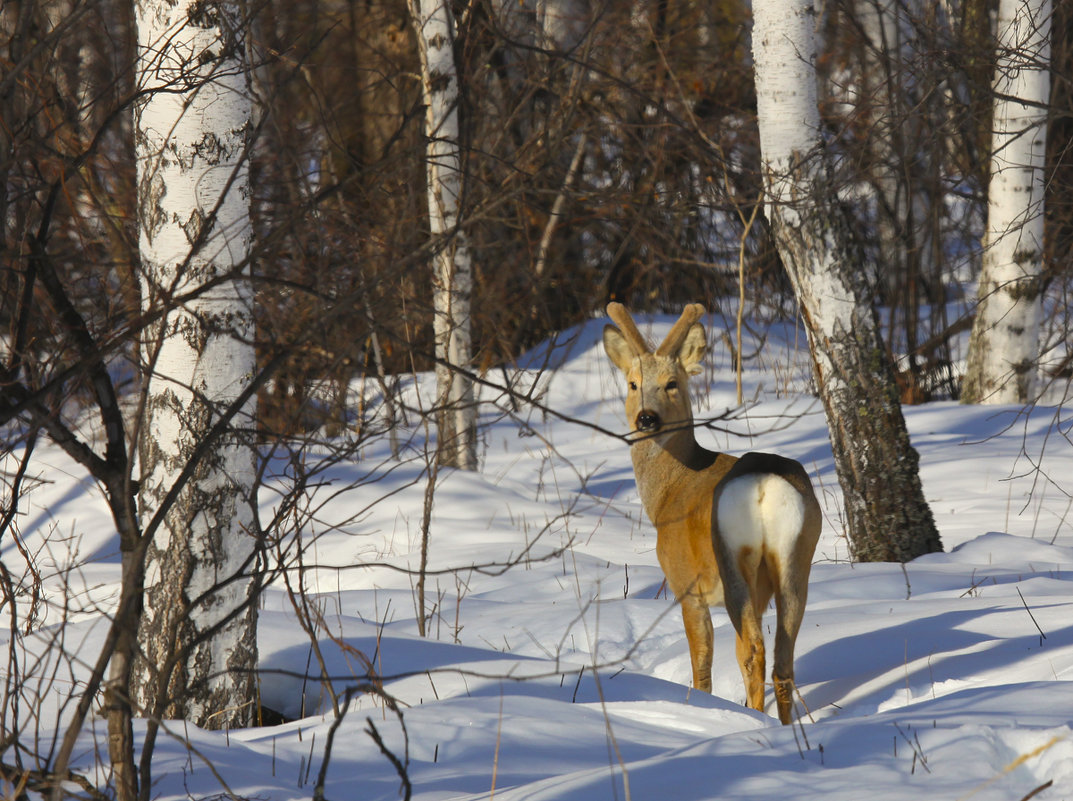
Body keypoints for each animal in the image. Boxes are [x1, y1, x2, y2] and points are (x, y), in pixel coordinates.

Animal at [605, 302, 819, 724]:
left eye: (672, 383)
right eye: (633, 384)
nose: (647, 418)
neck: (668, 493)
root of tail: (763, 485)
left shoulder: (686, 584)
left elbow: (701, 662)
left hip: (731, 557)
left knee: (753, 650)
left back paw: (756, 718)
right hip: (796, 555)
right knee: (781, 657)